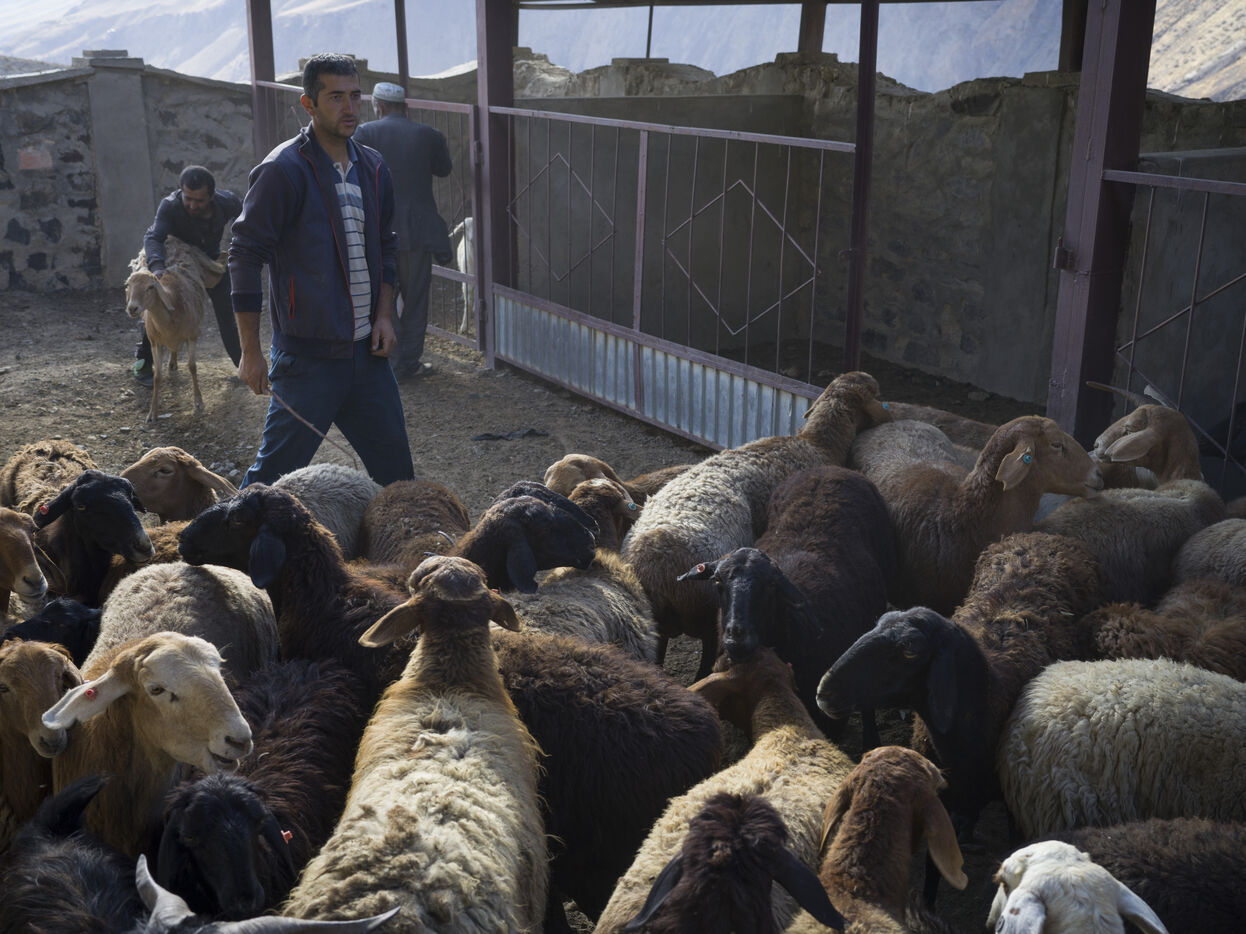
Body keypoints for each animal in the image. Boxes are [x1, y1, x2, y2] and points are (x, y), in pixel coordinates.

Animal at [678, 465, 896, 744]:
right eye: (717, 581)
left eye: (771, 585)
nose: (737, 639)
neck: (794, 627)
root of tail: (829, 468)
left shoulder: (830, 718)